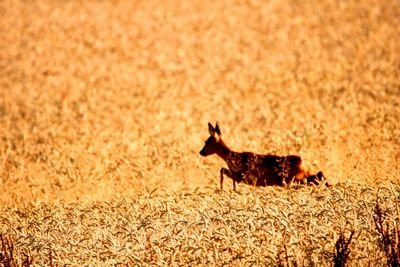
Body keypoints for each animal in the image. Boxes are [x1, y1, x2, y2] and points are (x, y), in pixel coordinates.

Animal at [200, 122, 328, 192]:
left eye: (207, 142)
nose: (201, 152)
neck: (232, 157)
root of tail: (304, 163)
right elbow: (223, 170)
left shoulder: (243, 176)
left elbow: (223, 170)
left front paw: (226, 188)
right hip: (299, 178)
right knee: (319, 175)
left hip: (292, 179)